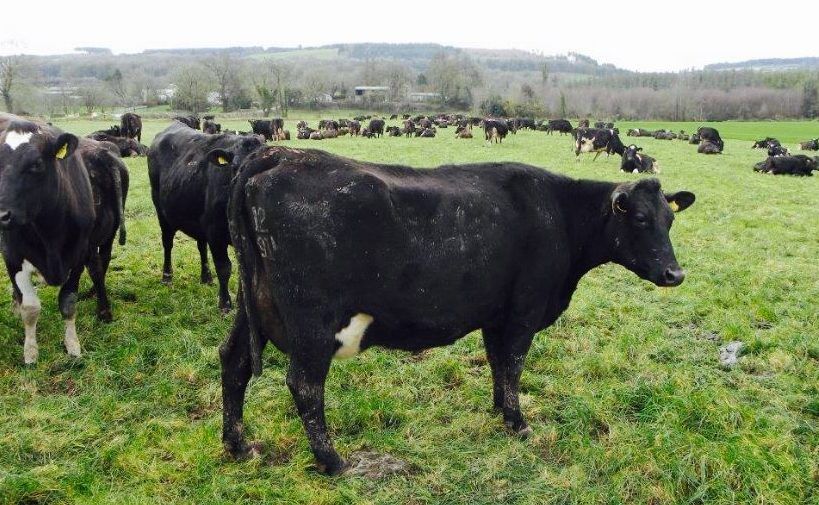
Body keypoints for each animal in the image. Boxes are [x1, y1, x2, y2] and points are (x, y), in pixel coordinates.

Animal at [0, 114, 128, 364]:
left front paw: (73, 345)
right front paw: (30, 352)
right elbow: (31, 307)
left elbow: (68, 301)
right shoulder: (12, 257)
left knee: (101, 263)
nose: (0, 214)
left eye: (37, 164)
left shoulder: (78, 254)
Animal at [147, 122, 264, 313]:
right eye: (235, 167)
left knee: (201, 246)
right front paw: (225, 304)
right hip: (162, 213)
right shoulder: (215, 234)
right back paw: (167, 276)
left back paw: (206, 277)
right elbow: (224, 268)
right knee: (167, 243)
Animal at [214, 146, 696, 475]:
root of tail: (277, 154)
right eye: (639, 220)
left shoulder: (496, 315)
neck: (559, 214)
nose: (675, 274)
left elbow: (499, 365)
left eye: (670, 219)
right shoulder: (524, 312)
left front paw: (500, 412)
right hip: (312, 323)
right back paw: (332, 461)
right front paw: (518, 423)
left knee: (233, 361)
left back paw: (238, 446)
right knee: (304, 384)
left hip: (252, 306)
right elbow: (514, 365)